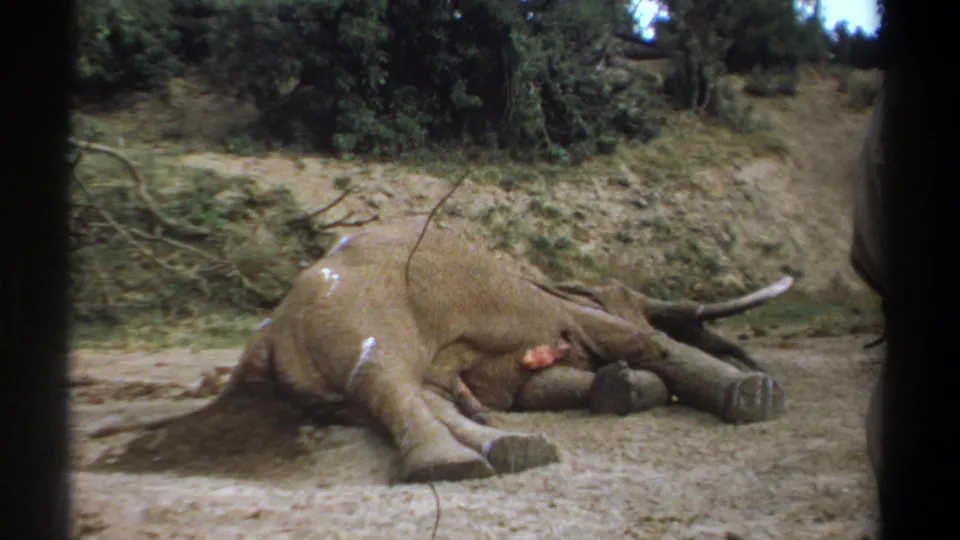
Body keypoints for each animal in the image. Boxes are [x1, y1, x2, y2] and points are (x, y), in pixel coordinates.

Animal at [89, 215, 793, 484]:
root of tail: (264, 337)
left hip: (321, 378)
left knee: (393, 396)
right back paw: (454, 466)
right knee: (387, 380)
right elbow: (635, 340)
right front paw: (754, 396)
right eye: (615, 293)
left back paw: (509, 450)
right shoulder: (550, 309)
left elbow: (547, 385)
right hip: (364, 314)